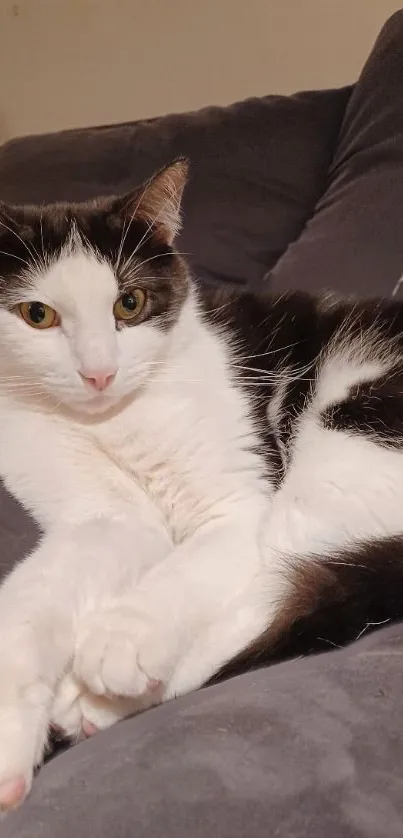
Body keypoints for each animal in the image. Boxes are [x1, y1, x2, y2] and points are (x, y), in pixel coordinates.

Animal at [0, 159, 403, 812]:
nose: (98, 373)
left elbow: (189, 571)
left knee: (280, 589)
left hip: (349, 438)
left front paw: (123, 640)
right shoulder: (102, 516)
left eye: (130, 303)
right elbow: (33, 601)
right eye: (38, 315)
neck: (117, 418)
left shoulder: (238, 503)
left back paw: (96, 702)